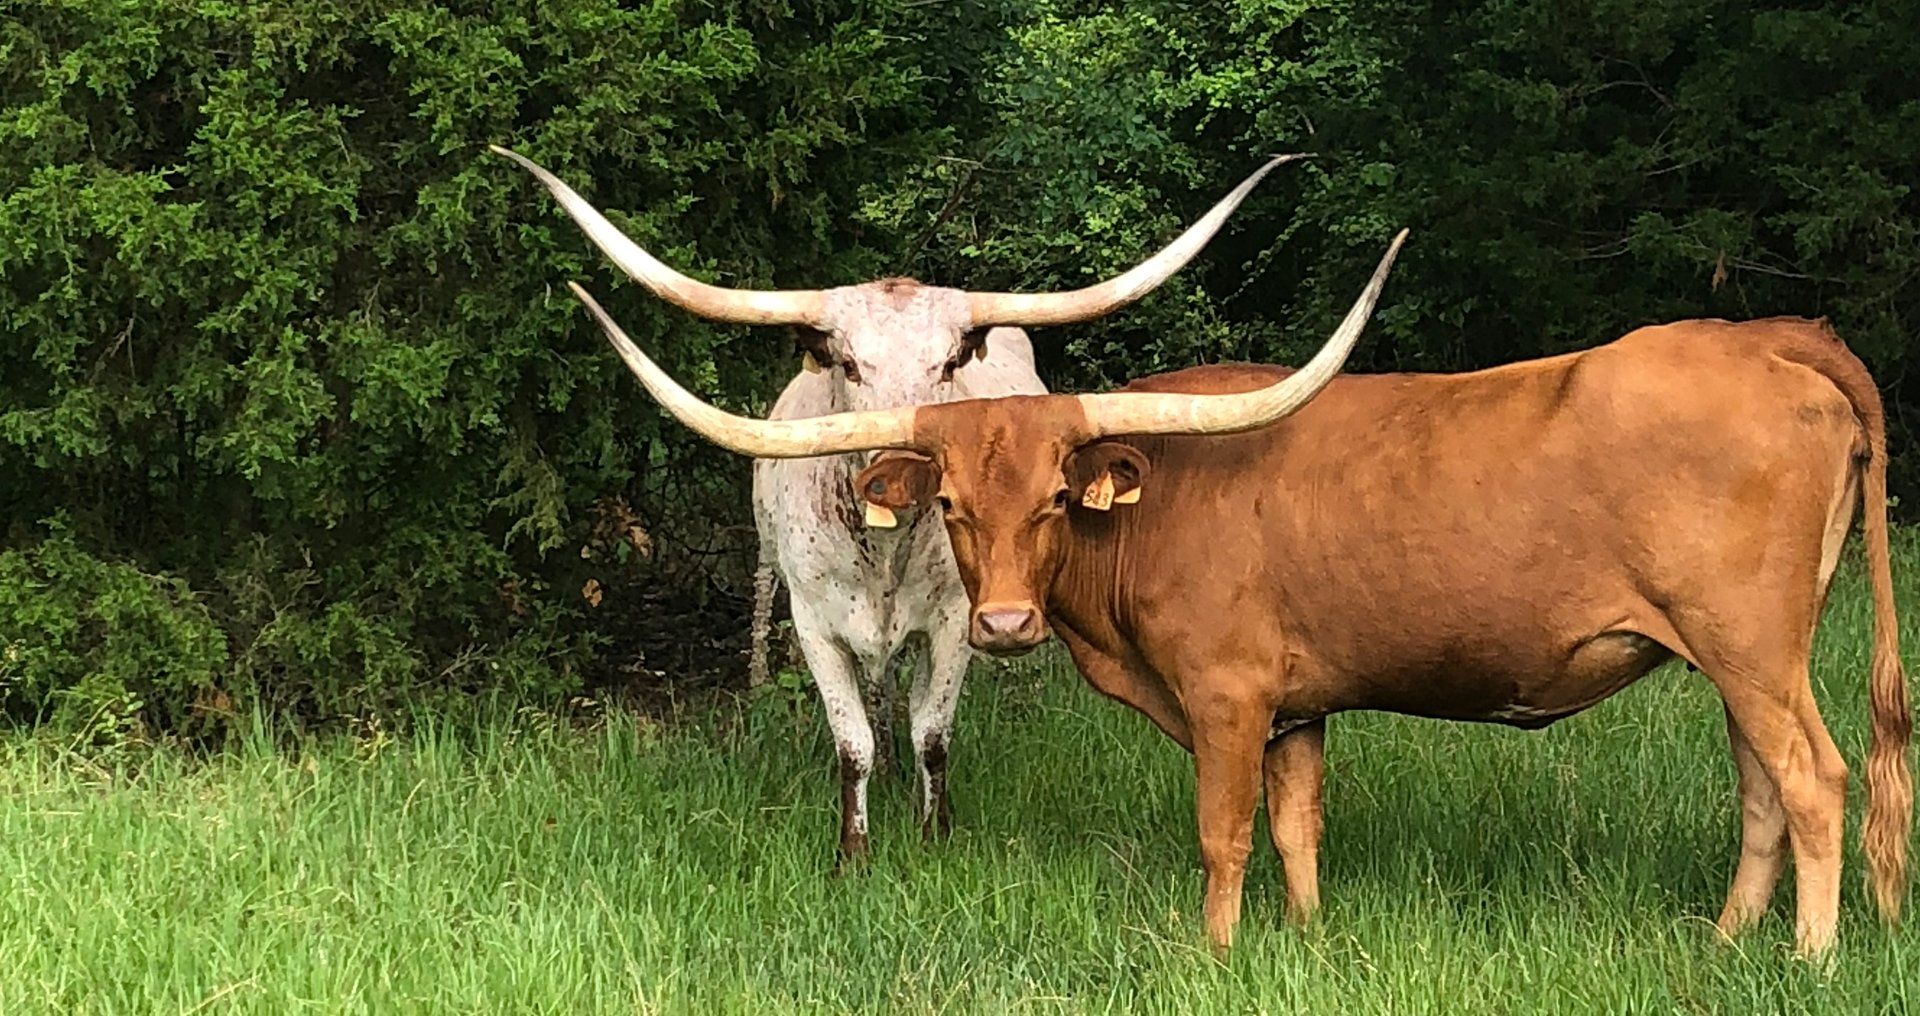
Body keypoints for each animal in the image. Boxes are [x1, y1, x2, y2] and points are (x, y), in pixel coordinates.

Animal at [495, 142, 1297, 856]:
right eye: (849, 363)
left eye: (946, 363)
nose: (902, 459)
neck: (880, 550)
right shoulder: (813, 623)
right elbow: (851, 741)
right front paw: (854, 849)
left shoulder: (952, 623)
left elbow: (932, 731)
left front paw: (932, 831)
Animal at [556, 233, 1904, 956]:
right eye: (956, 505)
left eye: (1057, 496)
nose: (1003, 625)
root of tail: (1772, 335)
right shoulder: (1298, 706)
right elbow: (1298, 823)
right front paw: (1305, 938)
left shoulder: (1227, 695)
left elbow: (1224, 829)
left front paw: (1215, 951)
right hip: (1738, 659)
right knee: (1764, 789)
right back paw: (1724, 940)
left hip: (1753, 648)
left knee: (1818, 780)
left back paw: (1810, 955)